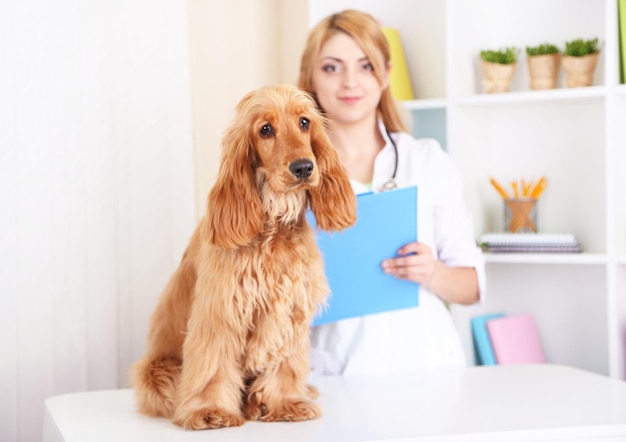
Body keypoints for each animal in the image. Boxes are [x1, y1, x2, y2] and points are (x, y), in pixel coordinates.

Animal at [132, 84, 356, 430]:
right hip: (157, 371)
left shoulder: (289, 309)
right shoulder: (221, 312)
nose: (304, 168)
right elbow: (213, 366)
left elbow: (284, 364)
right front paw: (209, 410)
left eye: (304, 122)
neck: (274, 226)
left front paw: (286, 402)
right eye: (265, 130)